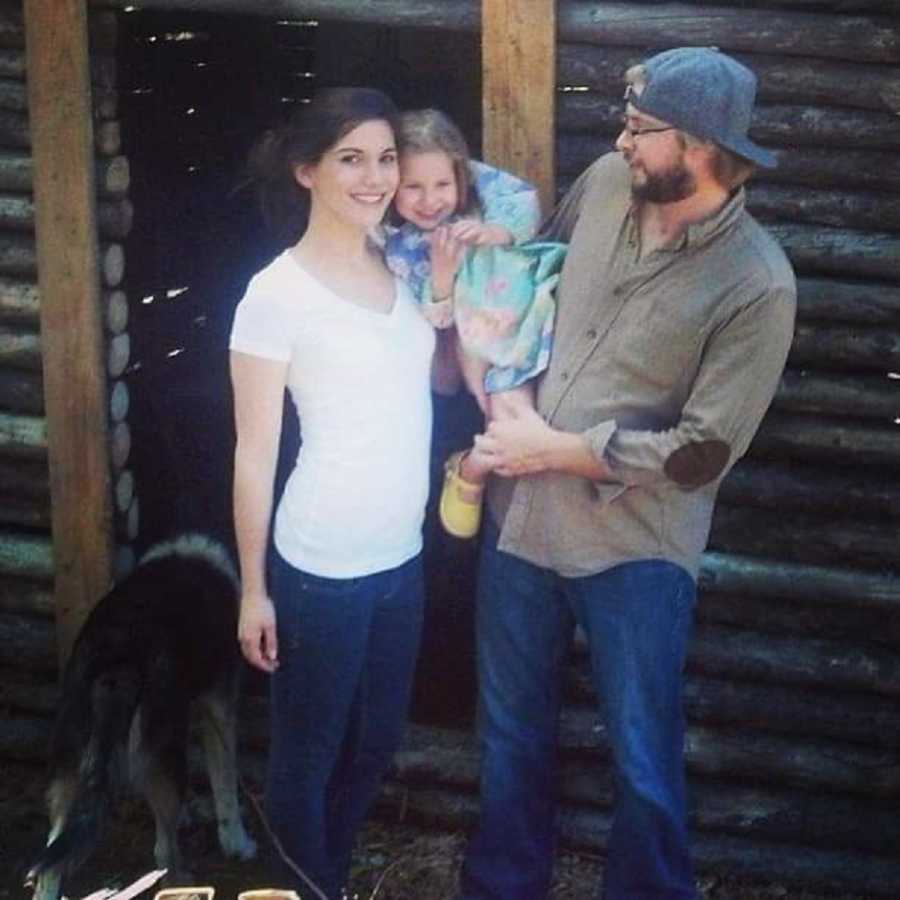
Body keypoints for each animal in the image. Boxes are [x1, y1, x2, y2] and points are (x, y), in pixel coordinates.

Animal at [27, 536, 256, 900]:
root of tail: (117, 657)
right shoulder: (219, 708)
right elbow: (226, 787)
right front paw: (238, 844)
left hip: (68, 765)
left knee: (50, 864)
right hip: (162, 748)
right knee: (164, 853)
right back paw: (183, 882)